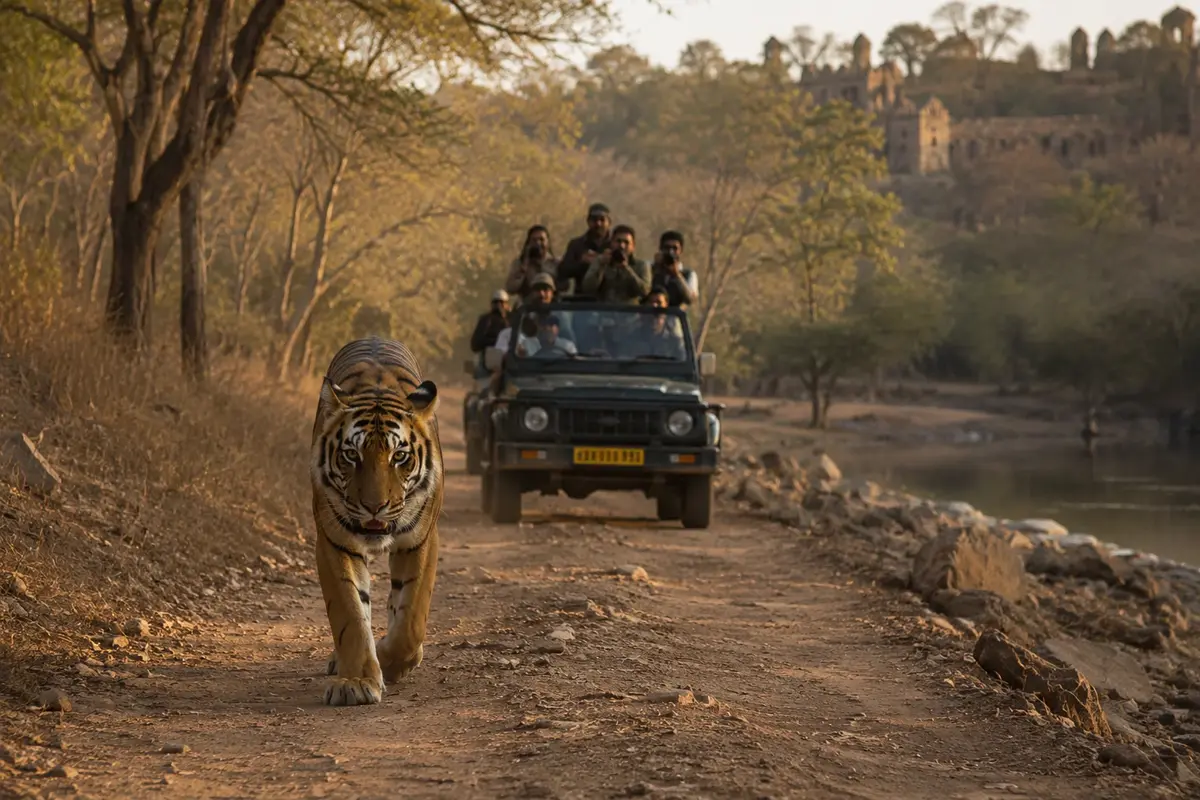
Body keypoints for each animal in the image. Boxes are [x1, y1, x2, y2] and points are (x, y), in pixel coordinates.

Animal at [309, 336, 444, 706]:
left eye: (399, 456)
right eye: (351, 455)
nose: (374, 507)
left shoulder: (421, 540)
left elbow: (411, 619)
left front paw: (390, 661)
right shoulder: (334, 541)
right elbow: (350, 614)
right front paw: (355, 681)